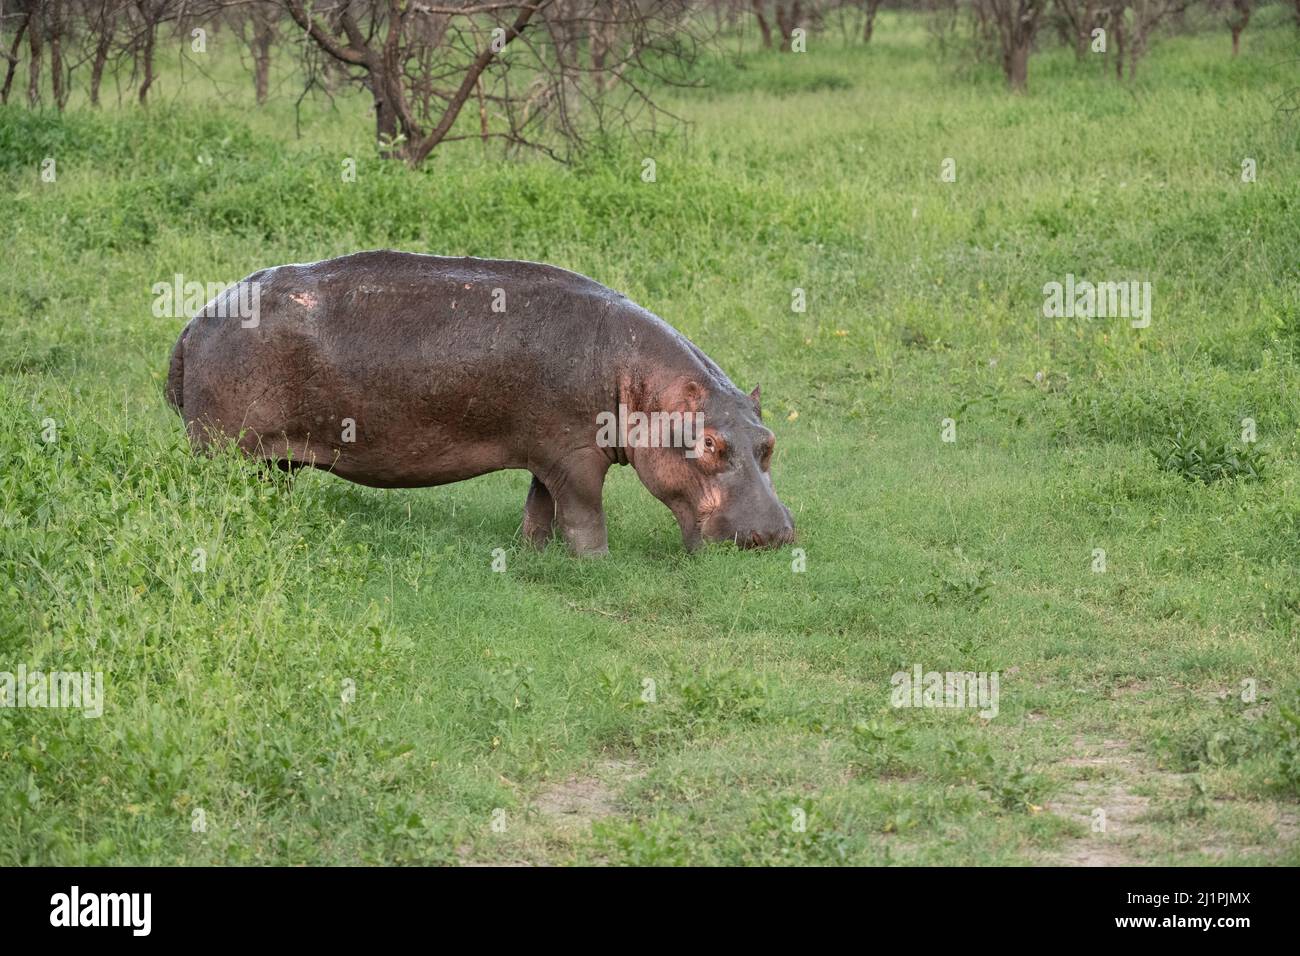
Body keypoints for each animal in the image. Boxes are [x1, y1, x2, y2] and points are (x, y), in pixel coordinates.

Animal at [162, 251, 790, 556]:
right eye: (708, 443)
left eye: (769, 443)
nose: (776, 535)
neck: (640, 381)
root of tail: (192, 324)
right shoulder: (576, 455)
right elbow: (584, 516)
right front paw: (597, 564)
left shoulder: (548, 452)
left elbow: (540, 510)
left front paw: (533, 555)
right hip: (220, 451)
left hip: (272, 460)